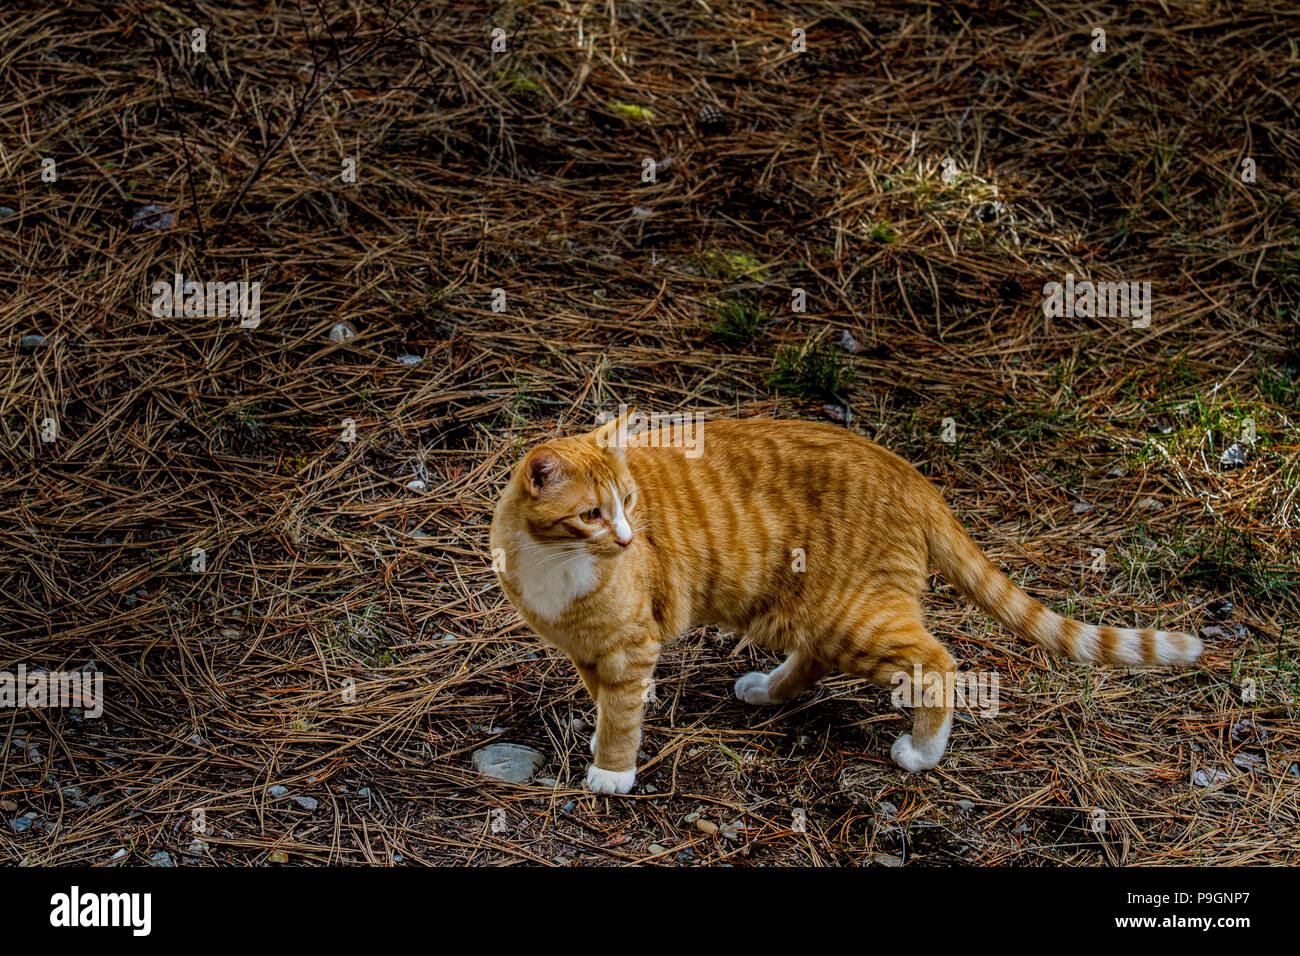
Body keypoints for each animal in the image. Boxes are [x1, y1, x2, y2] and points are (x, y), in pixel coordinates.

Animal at [491, 411, 1201, 790]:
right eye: (592, 513)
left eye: (630, 501)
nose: (628, 538)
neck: (557, 565)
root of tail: (912, 473)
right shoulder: (589, 651)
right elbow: (607, 700)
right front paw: (604, 734)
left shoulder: (630, 644)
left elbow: (620, 716)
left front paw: (612, 770)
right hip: (808, 611)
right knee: (817, 658)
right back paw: (767, 690)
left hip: (854, 614)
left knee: (936, 664)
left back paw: (922, 752)